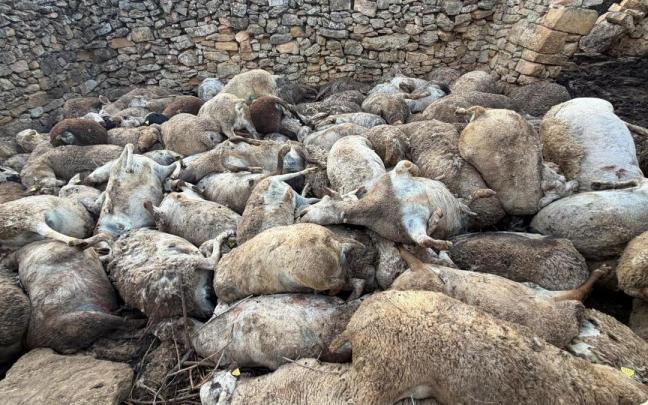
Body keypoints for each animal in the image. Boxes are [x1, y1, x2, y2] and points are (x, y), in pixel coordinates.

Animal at [300, 160, 493, 250]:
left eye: (326, 199)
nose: (301, 213)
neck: (383, 202)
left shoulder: (397, 174)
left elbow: (407, 165)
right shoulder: (410, 225)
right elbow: (423, 240)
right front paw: (442, 236)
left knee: (467, 199)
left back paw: (488, 193)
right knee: (466, 202)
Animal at [394, 247, 603, 347]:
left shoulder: (424, 273)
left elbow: (413, 259)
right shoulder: (424, 276)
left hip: (547, 297)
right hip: (555, 305)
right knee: (577, 295)